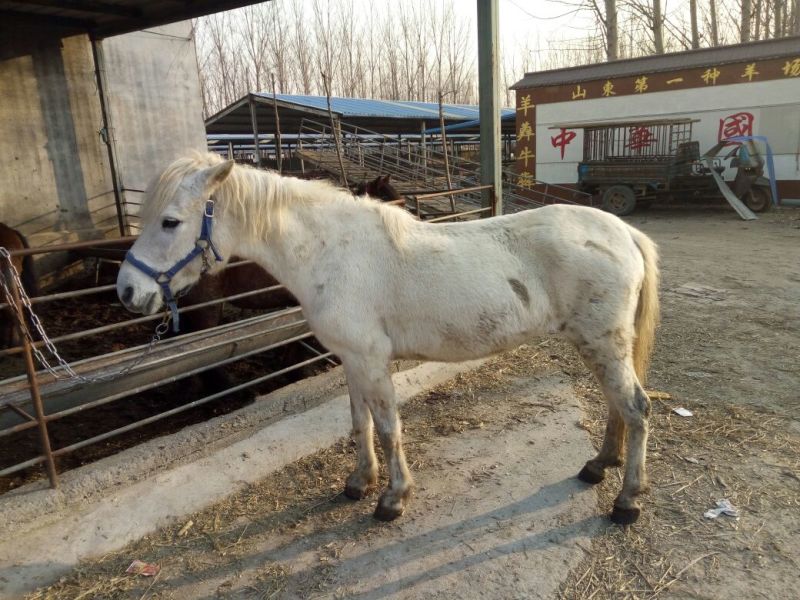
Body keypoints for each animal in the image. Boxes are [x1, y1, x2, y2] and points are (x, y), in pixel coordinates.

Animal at [117, 153, 660, 525]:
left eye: (170, 222)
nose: (127, 291)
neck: (331, 251)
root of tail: (623, 233)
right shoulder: (351, 360)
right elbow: (359, 424)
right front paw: (359, 482)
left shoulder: (372, 361)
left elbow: (388, 426)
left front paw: (393, 499)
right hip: (599, 344)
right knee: (617, 405)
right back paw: (599, 465)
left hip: (602, 342)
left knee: (635, 407)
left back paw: (627, 500)